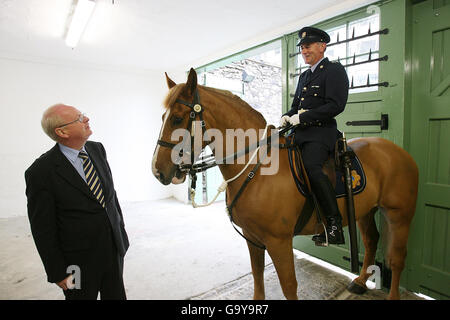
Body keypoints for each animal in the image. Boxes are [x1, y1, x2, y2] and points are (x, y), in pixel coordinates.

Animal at [151, 68, 418, 300]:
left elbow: (289, 285)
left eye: (177, 118)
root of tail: (397, 151)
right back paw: (361, 281)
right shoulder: (252, 238)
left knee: (397, 258)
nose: (157, 171)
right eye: (163, 117)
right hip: (365, 211)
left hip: (400, 214)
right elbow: (258, 276)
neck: (256, 167)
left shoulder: (278, 242)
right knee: (372, 241)